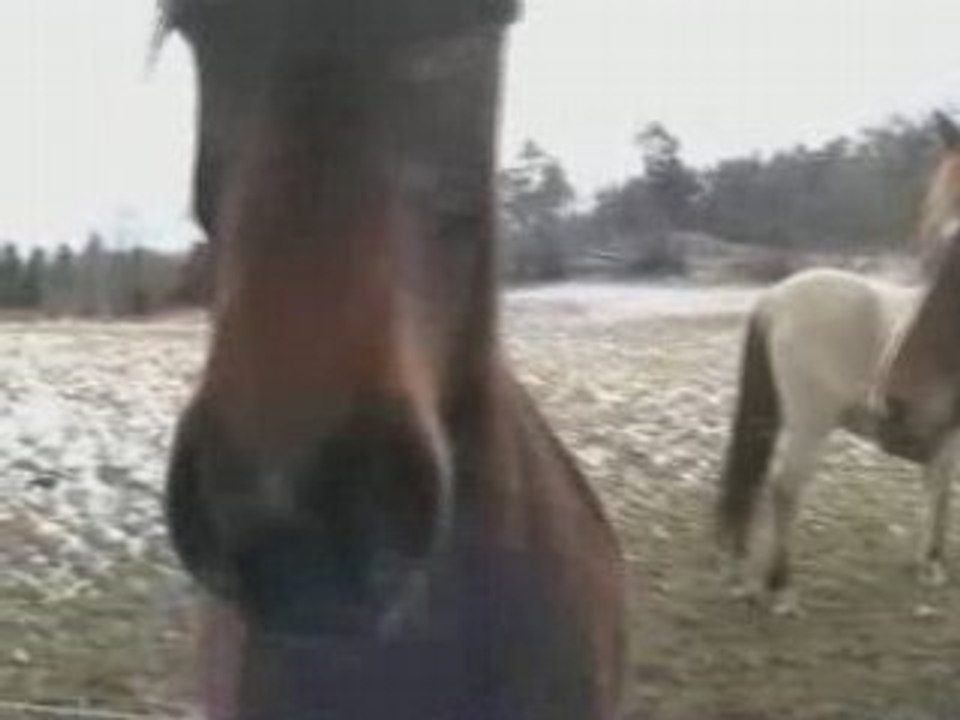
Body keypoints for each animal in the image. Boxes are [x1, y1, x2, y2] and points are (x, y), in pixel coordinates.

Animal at [715, 114, 960, 614]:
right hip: (812, 422)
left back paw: (740, 574)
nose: (899, 394)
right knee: (785, 488)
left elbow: (936, 487)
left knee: (750, 480)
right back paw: (781, 588)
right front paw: (932, 565)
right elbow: (941, 489)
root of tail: (775, 298)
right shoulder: (949, 433)